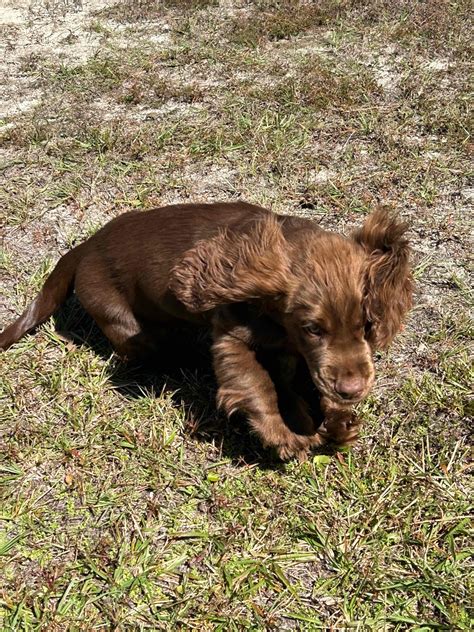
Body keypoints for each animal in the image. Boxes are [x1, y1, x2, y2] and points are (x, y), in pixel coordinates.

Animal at [0, 202, 412, 460]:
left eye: (366, 325)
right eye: (313, 329)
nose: (352, 389)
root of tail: (84, 247)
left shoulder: (290, 350)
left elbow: (296, 383)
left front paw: (334, 420)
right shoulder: (233, 338)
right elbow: (258, 385)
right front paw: (282, 435)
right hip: (123, 320)